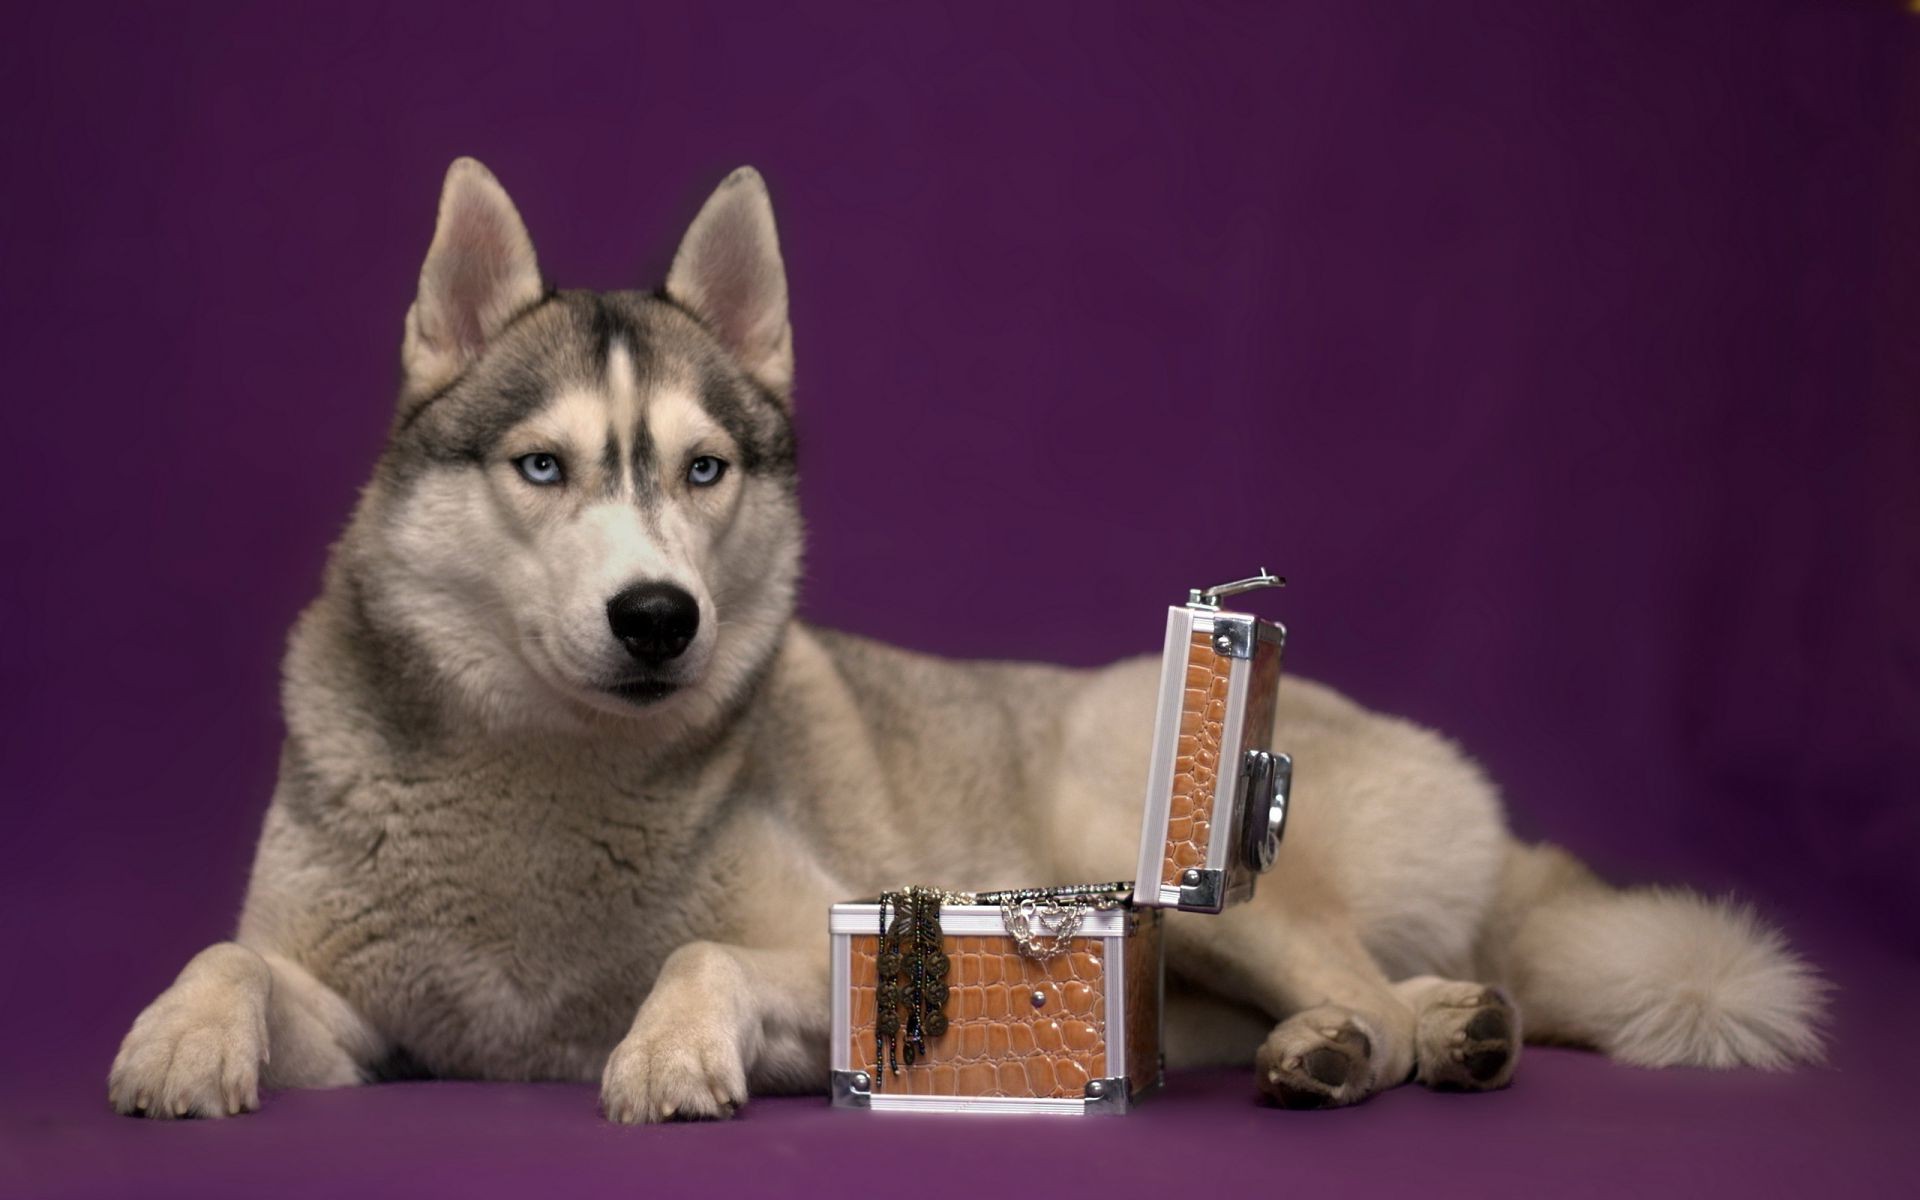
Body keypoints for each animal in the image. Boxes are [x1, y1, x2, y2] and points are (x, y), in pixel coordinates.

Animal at [108, 156, 1827, 1113]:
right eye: (542, 468)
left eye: (703, 470)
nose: (660, 617)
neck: (535, 788)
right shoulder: (368, 1019)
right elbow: (230, 959)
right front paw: (180, 1043)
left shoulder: (820, 954)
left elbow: (704, 963)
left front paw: (667, 1052)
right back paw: (1404, 1035)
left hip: (1138, 815)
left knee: (1386, 1007)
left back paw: (1379, 1044)